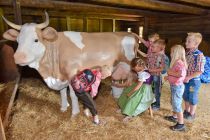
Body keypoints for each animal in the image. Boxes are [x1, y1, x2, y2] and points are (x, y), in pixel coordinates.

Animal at [2, 12, 139, 116]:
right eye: (18, 41)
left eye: (35, 40)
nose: (18, 57)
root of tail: (129, 33)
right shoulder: (61, 76)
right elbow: (63, 92)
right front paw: (63, 107)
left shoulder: (72, 73)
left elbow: (73, 95)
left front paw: (75, 112)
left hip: (132, 66)